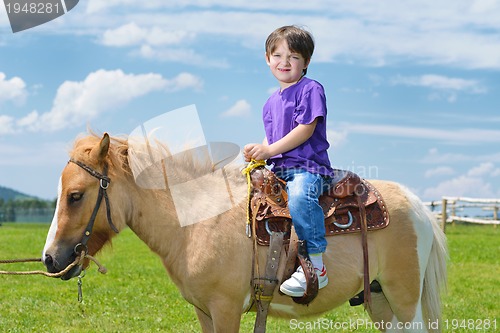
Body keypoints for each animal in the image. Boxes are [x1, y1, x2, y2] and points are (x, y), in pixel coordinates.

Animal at [43, 133, 448, 332]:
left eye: (76, 195)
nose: (50, 259)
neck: (196, 222)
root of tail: (418, 206)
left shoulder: (225, 309)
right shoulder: (204, 312)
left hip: (403, 299)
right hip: (379, 300)